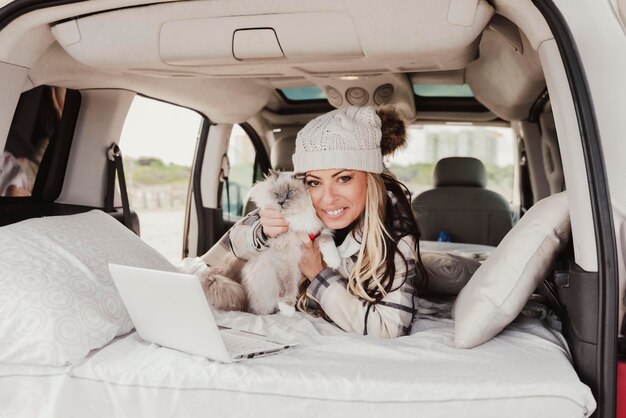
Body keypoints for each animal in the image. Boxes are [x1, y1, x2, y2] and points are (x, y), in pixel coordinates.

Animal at [201, 169, 338, 314]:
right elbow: (288, 281)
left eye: (290, 193)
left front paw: (334, 261)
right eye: (276, 194)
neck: (296, 216)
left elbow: (327, 241)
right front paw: (288, 308)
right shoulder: (286, 253)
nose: (281, 202)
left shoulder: (318, 231)